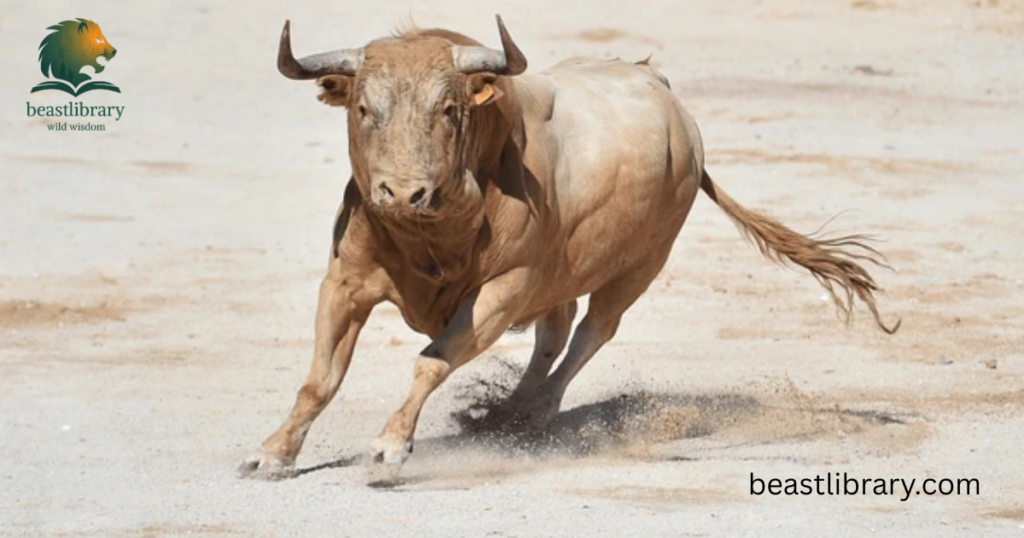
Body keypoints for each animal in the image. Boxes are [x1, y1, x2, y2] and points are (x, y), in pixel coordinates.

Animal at [238, 15, 899, 480]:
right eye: (363, 107)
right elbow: (319, 380)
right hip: (561, 275)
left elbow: (431, 360)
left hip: (640, 265)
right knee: (557, 331)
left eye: (449, 109)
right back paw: (507, 412)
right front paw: (273, 452)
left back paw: (533, 415)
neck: (434, 232)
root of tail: (663, 90)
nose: (403, 192)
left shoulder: (502, 291)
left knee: (591, 332)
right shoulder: (345, 281)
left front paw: (391, 444)